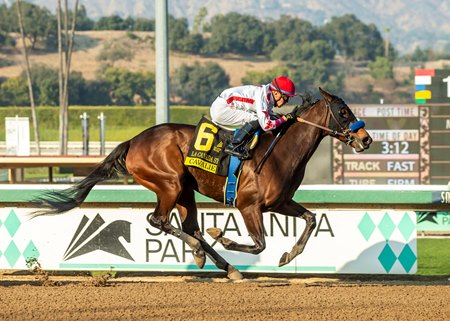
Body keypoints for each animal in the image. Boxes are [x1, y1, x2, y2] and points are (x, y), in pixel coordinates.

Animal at [30, 87, 370, 278]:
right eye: (343, 111)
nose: (366, 139)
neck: (280, 151)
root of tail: (133, 141)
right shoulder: (248, 206)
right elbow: (259, 243)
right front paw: (226, 237)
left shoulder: (280, 203)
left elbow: (311, 219)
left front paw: (289, 255)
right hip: (169, 182)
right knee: (159, 220)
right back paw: (203, 251)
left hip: (184, 191)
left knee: (189, 227)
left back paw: (225, 266)